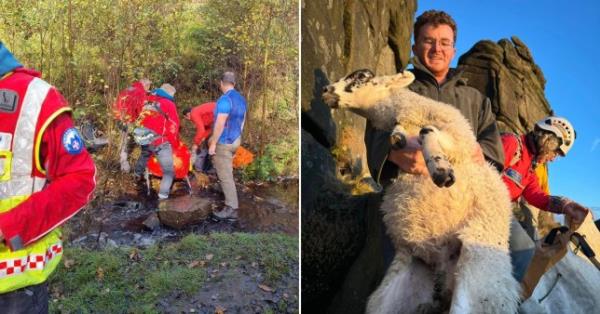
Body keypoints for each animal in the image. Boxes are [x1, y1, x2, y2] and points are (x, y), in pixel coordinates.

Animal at [322, 70, 524, 312]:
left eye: (361, 77)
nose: (325, 90)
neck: (407, 111)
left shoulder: (460, 141)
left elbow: (427, 132)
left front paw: (441, 171)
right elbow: (401, 136)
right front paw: (398, 139)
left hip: (477, 276)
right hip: (393, 291)